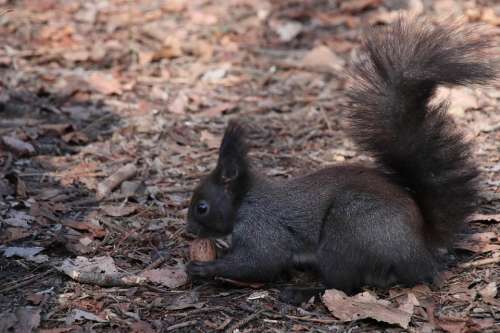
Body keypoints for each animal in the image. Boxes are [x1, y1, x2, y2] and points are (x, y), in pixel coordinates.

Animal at [185, 16, 496, 300]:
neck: (244, 200)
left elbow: (259, 262)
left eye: (202, 207)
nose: (189, 230)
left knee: (342, 284)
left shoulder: (263, 229)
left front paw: (205, 268)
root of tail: (421, 248)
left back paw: (301, 292)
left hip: (346, 233)